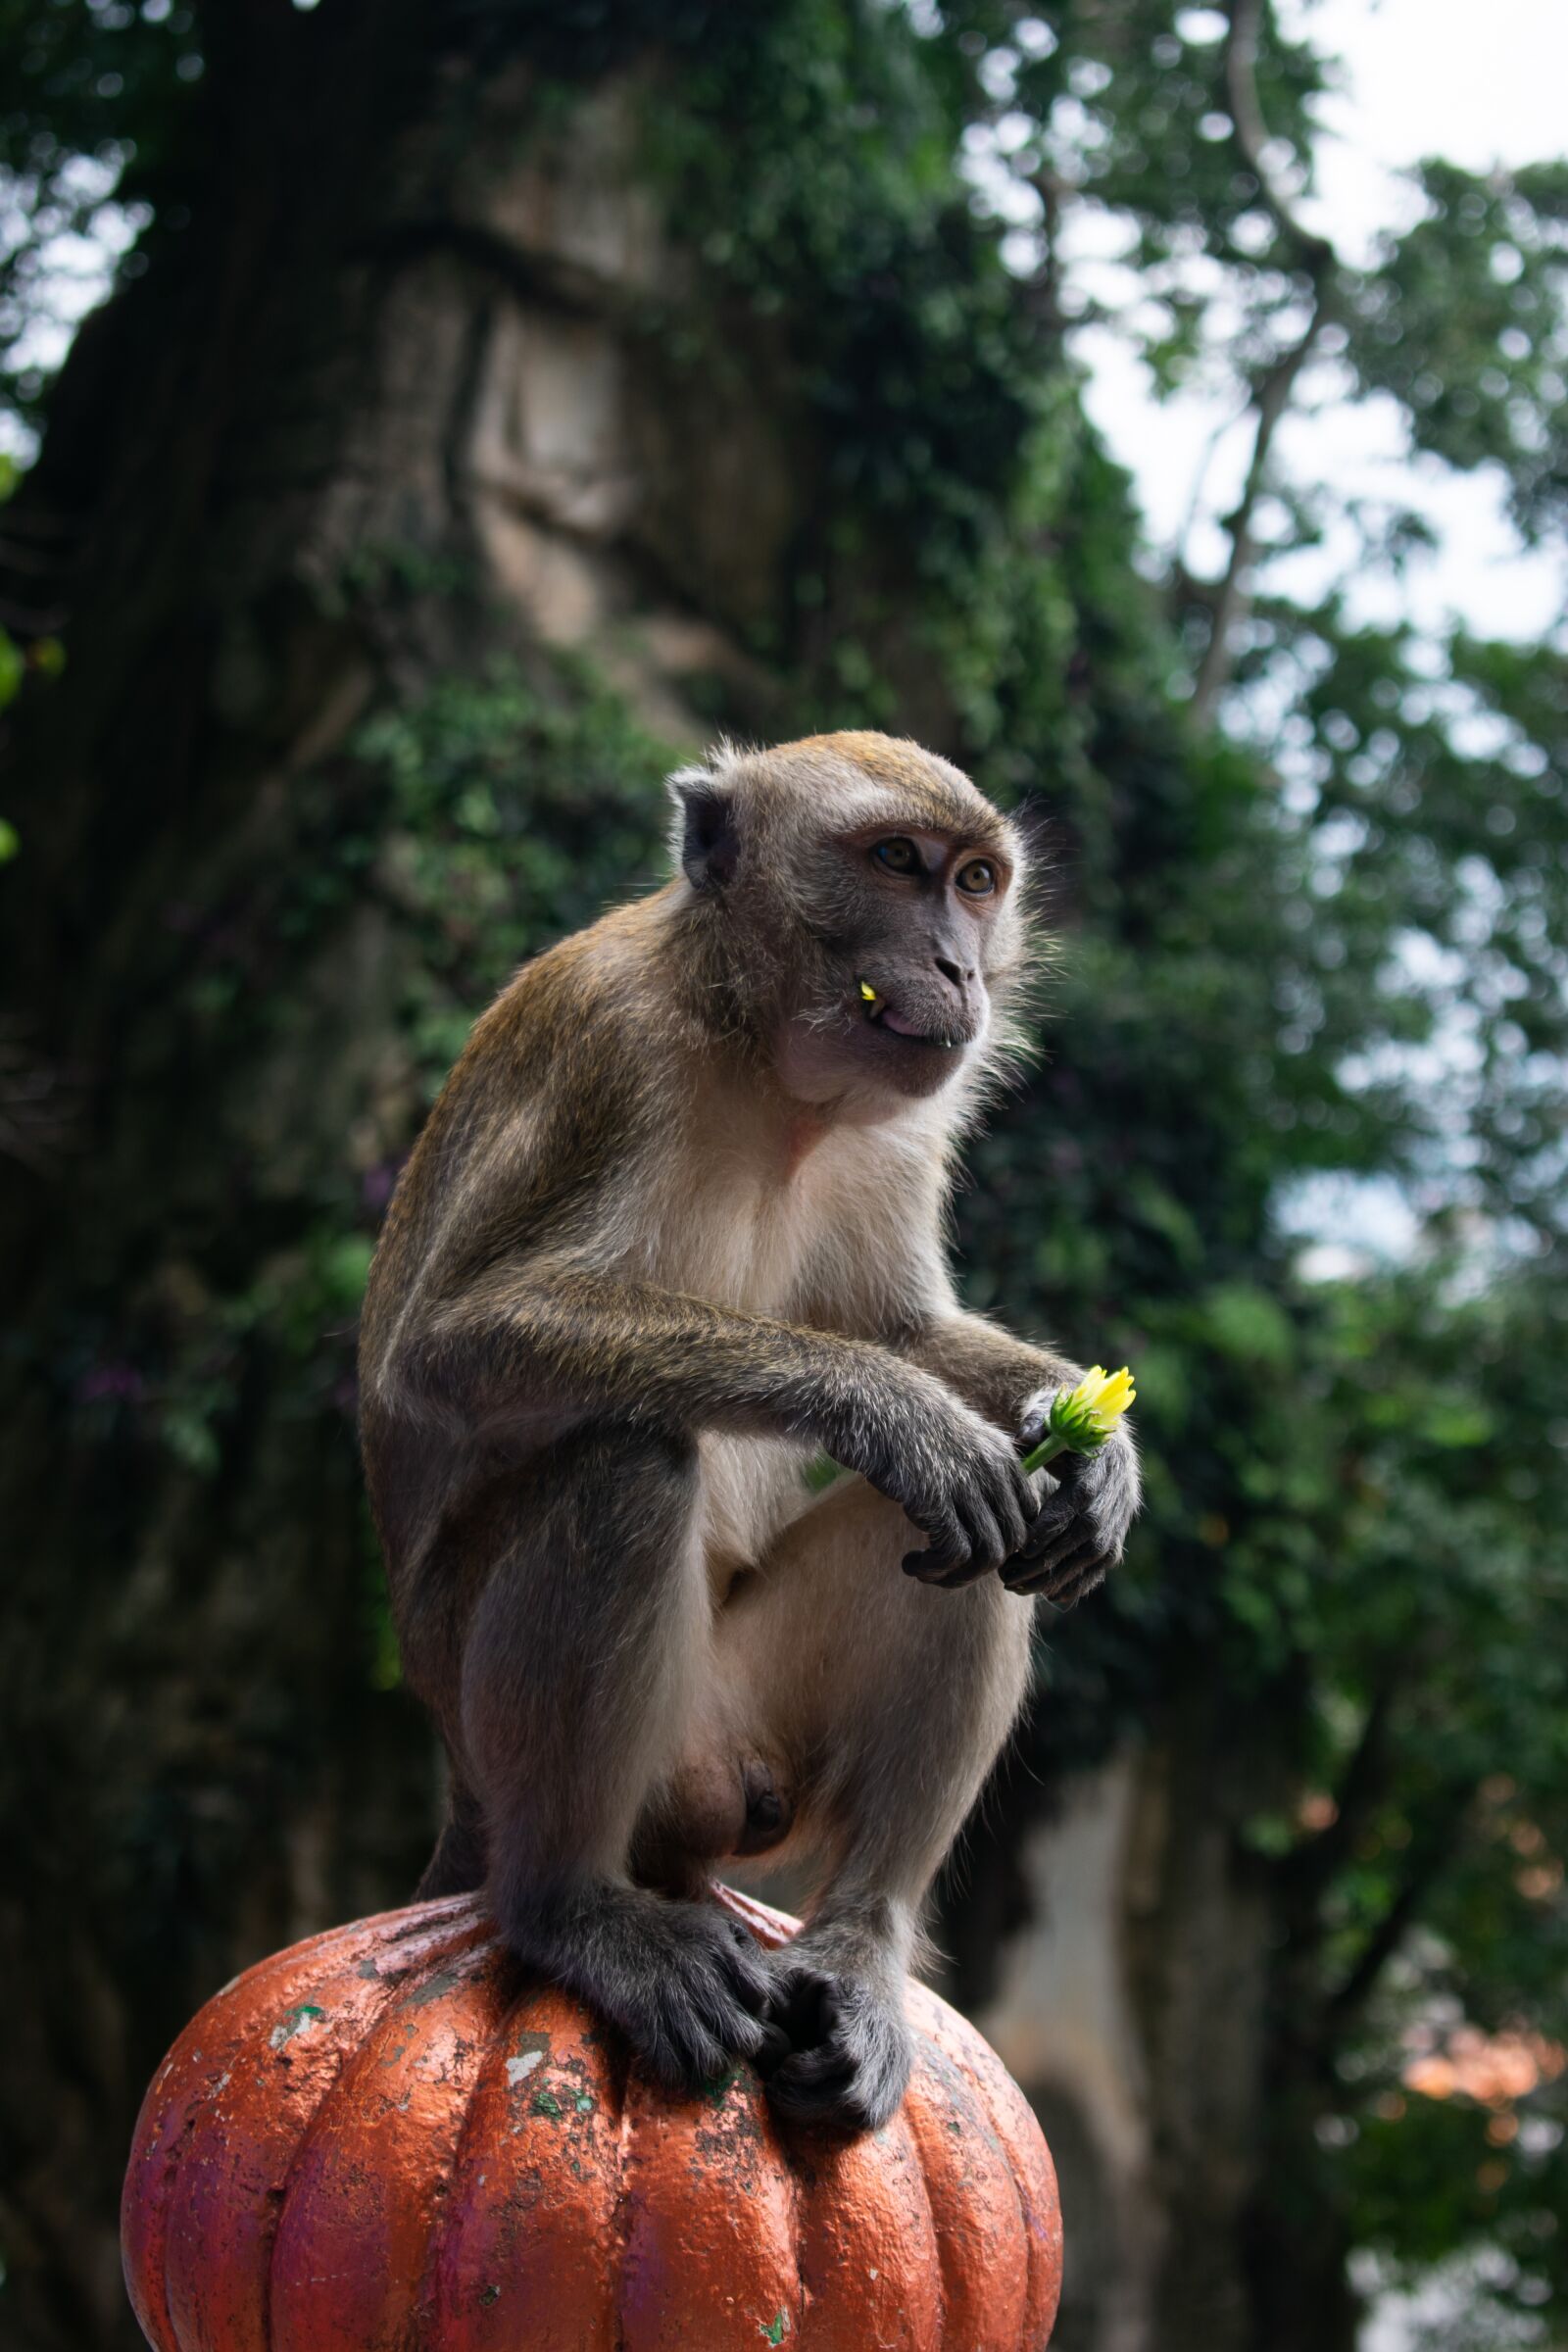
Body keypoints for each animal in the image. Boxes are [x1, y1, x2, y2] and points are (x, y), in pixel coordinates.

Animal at [358, 729, 1140, 2133]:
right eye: (895, 861)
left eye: (976, 881)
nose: (957, 965)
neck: (762, 1062)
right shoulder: (610, 1049)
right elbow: (451, 1338)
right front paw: (889, 1412)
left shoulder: (900, 1131)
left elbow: (903, 1328)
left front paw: (1094, 1451)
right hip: (511, 1710)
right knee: (625, 1458)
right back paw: (572, 1913)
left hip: (741, 1730)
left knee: (978, 1534)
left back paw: (860, 1951)